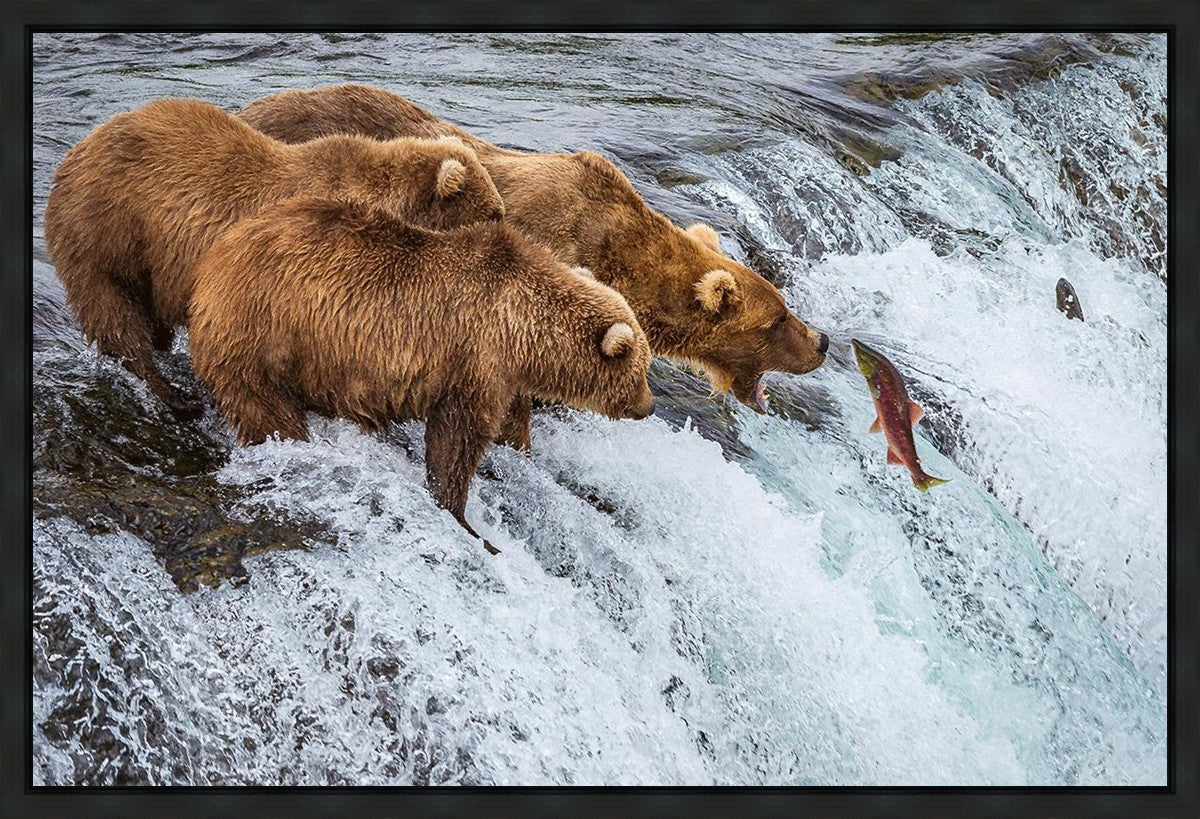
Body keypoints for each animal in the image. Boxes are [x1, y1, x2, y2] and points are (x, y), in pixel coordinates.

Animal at [44, 97, 506, 420]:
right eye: (494, 213)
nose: (507, 227)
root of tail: (76, 151)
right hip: (107, 232)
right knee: (114, 314)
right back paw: (174, 395)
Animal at [188, 195, 654, 554]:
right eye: (642, 371)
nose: (648, 407)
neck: (522, 329)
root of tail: (213, 260)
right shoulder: (474, 358)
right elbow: (457, 440)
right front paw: (467, 521)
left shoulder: (504, 376)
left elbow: (509, 425)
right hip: (264, 332)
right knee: (266, 407)